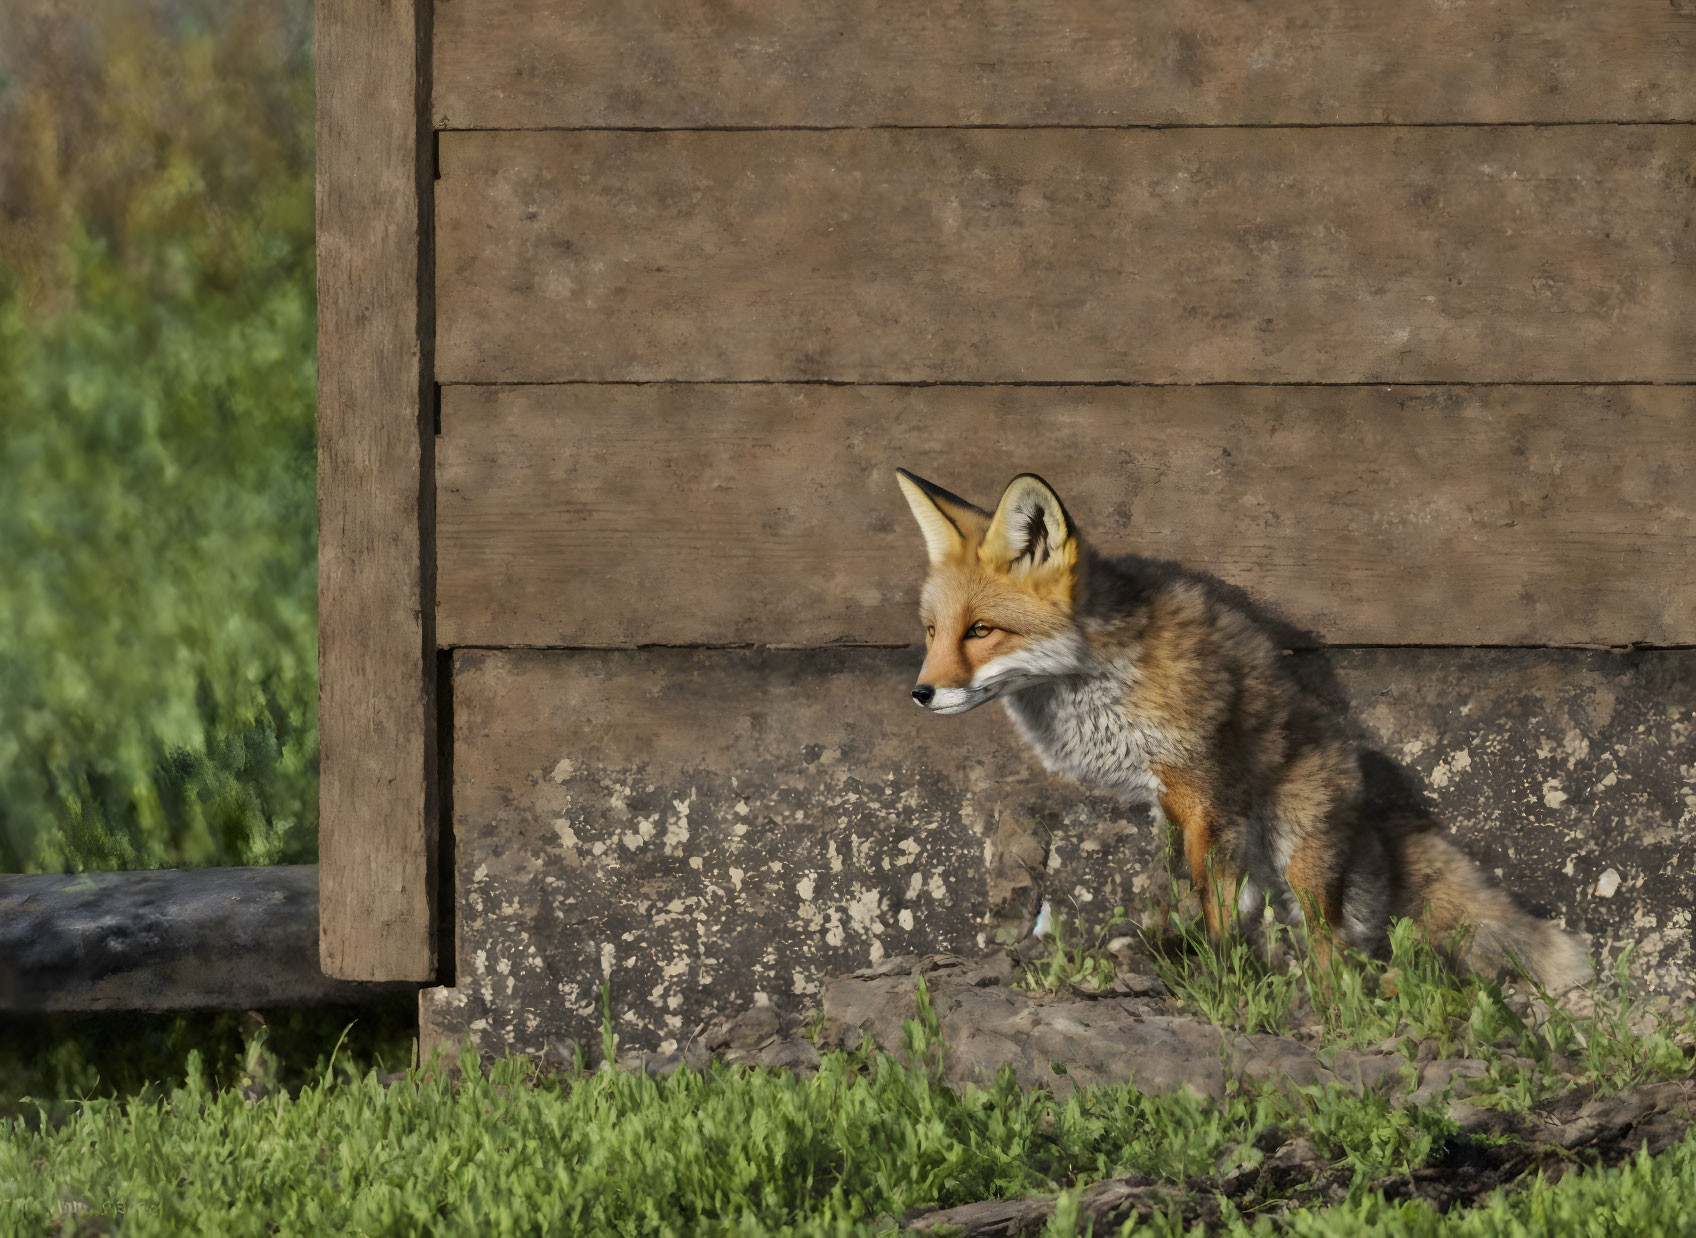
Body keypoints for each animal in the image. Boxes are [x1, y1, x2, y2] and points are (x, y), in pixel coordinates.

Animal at [895, 464, 1594, 990]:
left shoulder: (1203, 791)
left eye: (981, 630)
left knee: (1333, 953)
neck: (1096, 683)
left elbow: (1217, 916)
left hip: (1300, 857)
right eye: (933, 632)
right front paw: (1203, 968)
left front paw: (1222, 988)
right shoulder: (1172, 808)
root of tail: (1369, 816)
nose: (921, 694)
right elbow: (1199, 905)